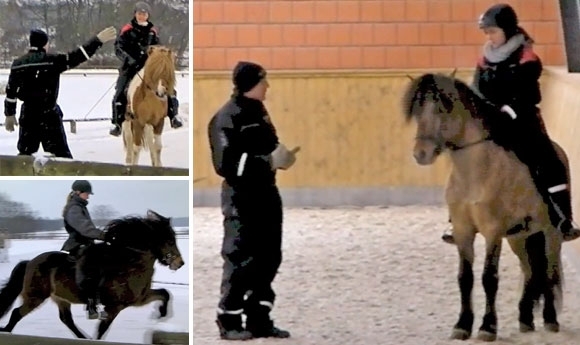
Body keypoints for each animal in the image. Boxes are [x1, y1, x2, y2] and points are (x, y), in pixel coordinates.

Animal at [0, 210, 184, 338]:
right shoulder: (114, 307)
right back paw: (6, 331)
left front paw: (161, 315)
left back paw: (83, 338)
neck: (128, 262)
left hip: (61, 298)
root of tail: (30, 262)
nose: (180, 263)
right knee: (17, 313)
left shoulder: (140, 299)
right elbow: (102, 330)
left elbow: (164, 293)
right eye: (169, 241)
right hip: (36, 296)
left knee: (67, 320)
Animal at [404, 71, 568, 340]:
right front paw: (462, 325)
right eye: (418, 112)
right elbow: (465, 278)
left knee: (549, 269)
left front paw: (487, 327)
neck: (474, 173)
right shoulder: (463, 231)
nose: (421, 154)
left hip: (550, 232)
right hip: (519, 236)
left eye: (442, 109)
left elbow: (489, 278)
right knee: (530, 271)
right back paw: (525, 320)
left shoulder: (493, 232)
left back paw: (550, 319)